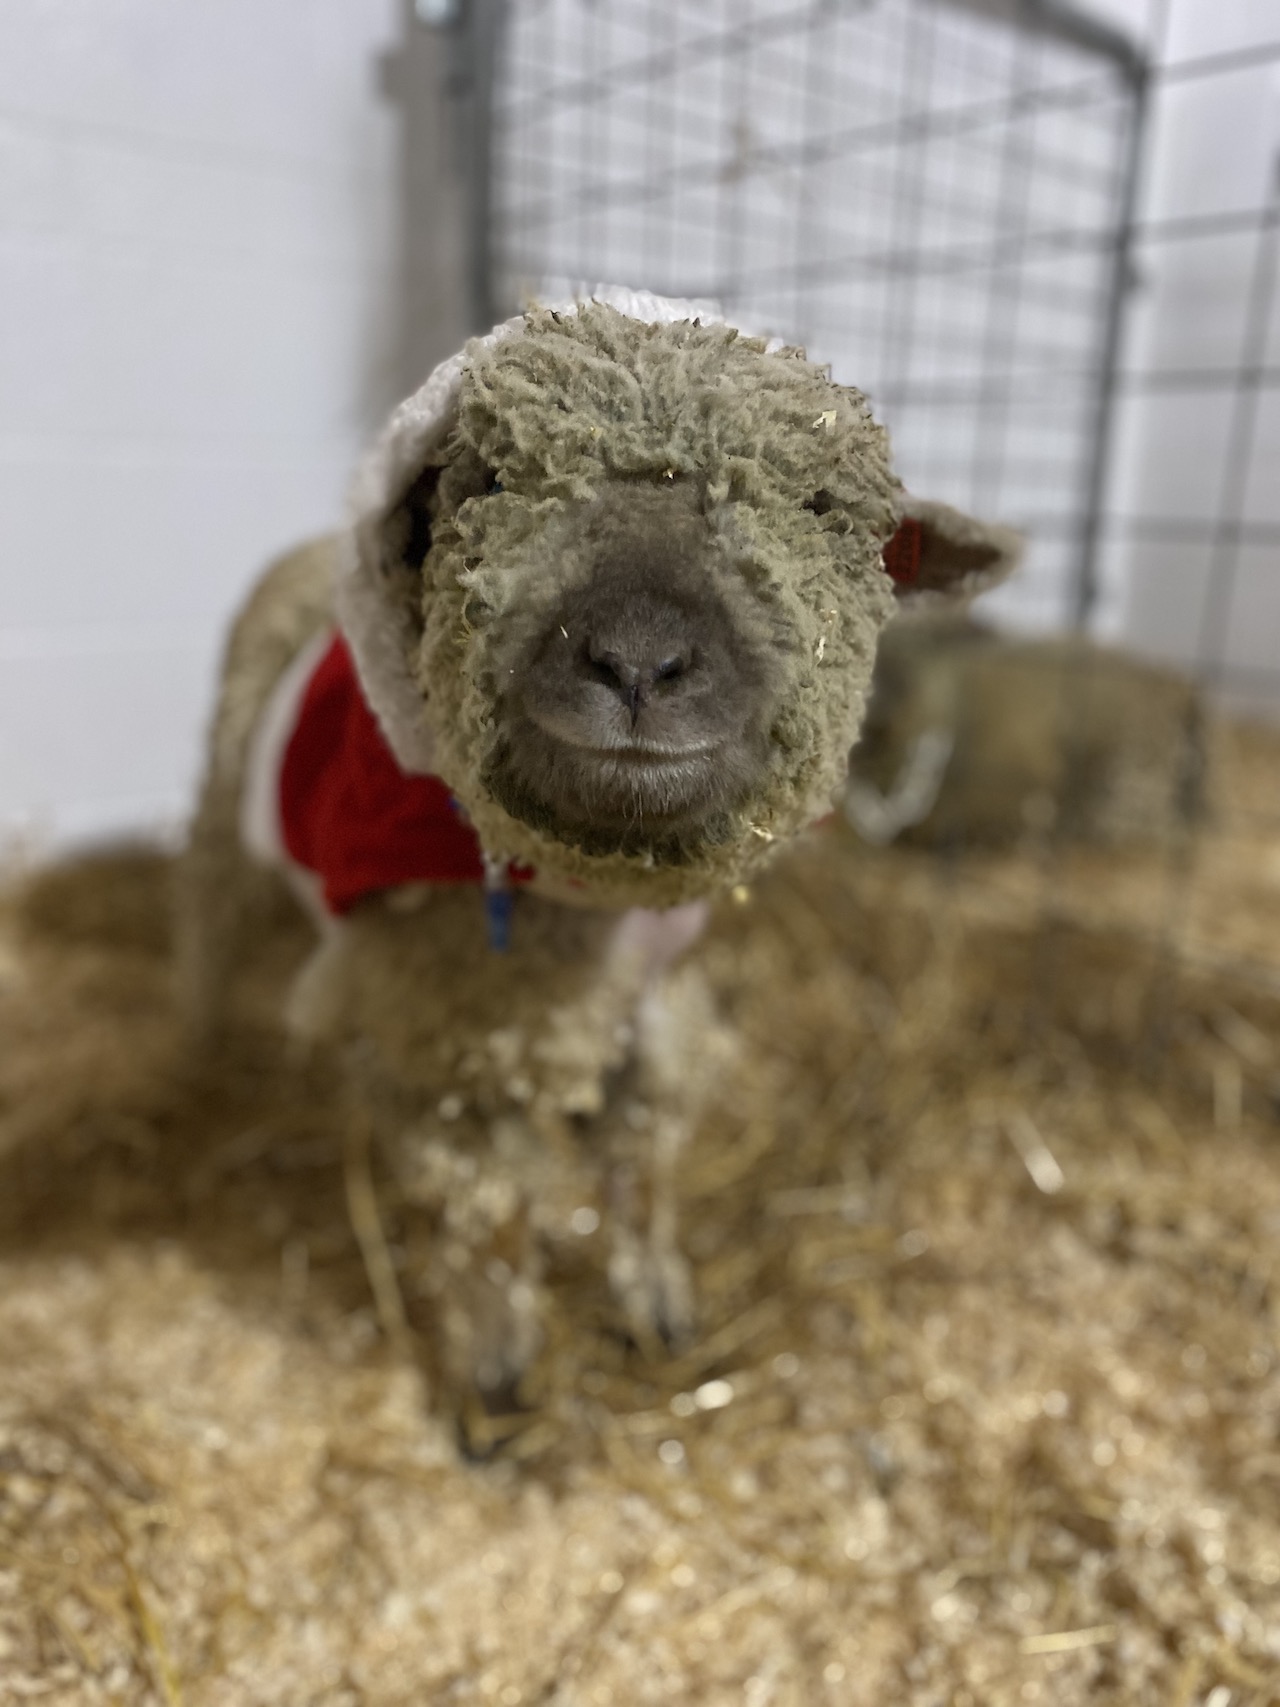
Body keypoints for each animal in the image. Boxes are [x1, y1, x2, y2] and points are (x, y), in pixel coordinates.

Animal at [180, 286, 1024, 1420]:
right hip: (222, 818)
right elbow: (490, 1220)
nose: (636, 659)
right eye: (489, 483)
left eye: (818, 509)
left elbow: (642, 1173)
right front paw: (494, 1383)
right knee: (206, 936)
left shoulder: (653, 1013)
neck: (594, 901)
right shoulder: (451, 1049)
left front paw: (656, 1308)